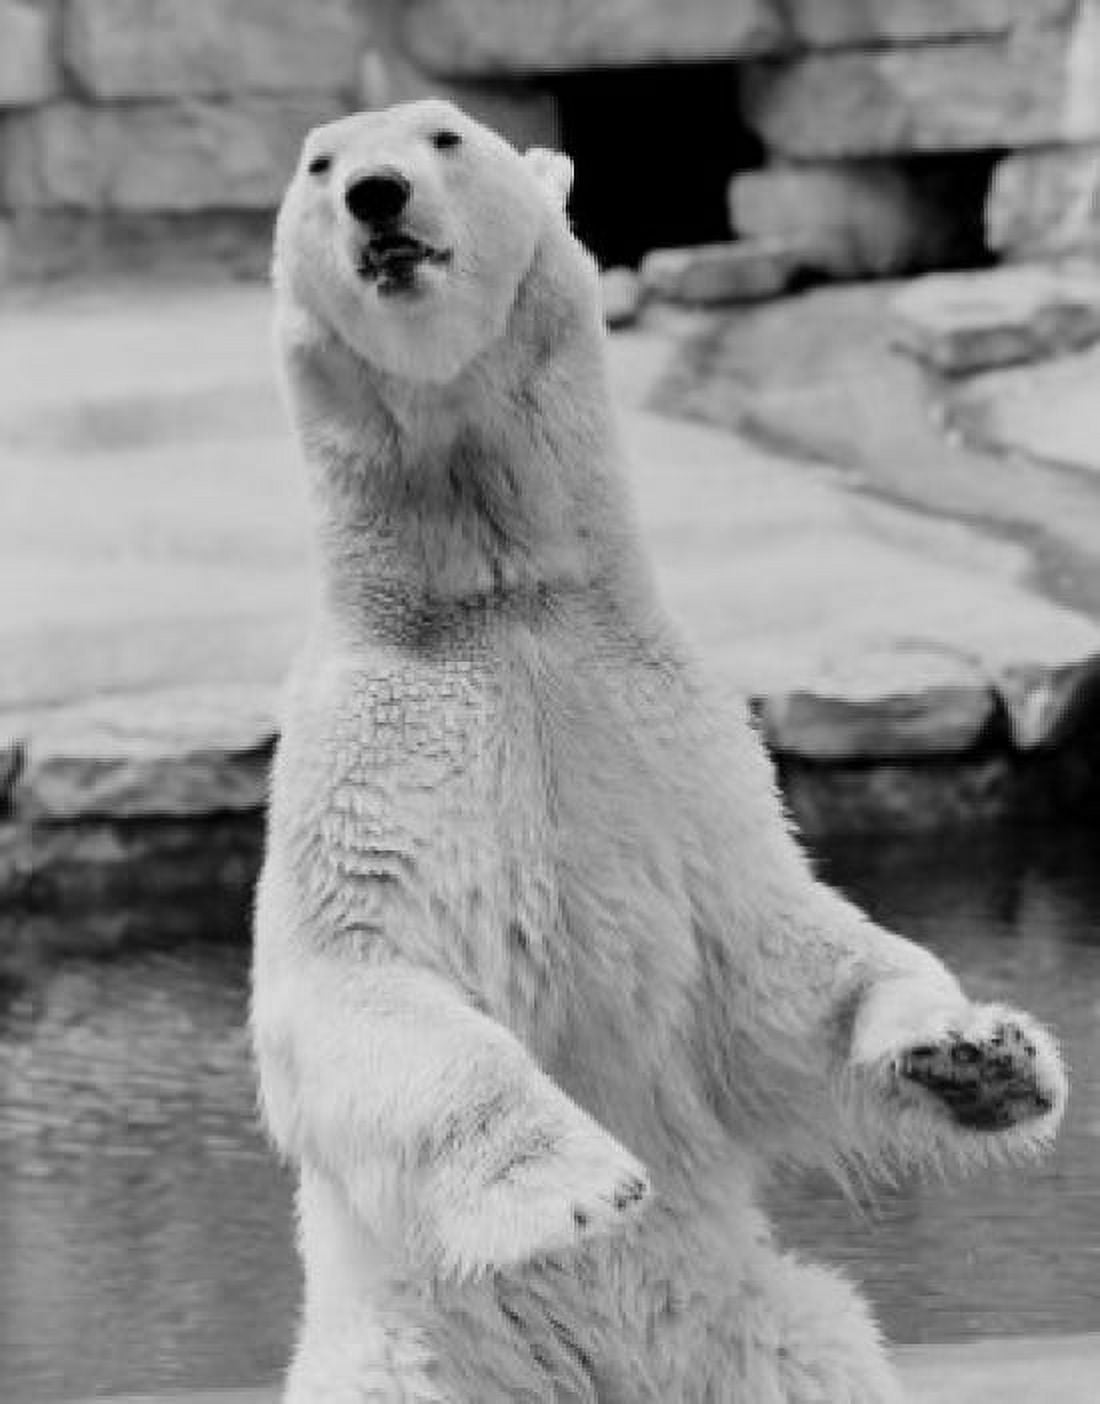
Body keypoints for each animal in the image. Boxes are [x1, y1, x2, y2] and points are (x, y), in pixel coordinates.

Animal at [252, 98, 1067, 1403]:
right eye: (320, 163)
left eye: (443, 136)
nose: (376, 194)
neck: (503, 600)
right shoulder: (375, 744)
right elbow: (358, 976)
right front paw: (580, 1189)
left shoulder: (673, 738)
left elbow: (774, 963)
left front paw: (975, 1054)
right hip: (408, 1349)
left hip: (744, 1327)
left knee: (824, 1348)